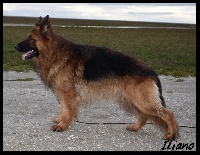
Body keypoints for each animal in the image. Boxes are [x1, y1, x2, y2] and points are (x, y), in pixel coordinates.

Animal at [14, 15, 179, 140]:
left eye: (30, 38)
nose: (15, 46)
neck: (54, 53)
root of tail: (151, 72)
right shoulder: (64, 94)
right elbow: (63, 108)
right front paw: (60, 120)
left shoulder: (69, 94)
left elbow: (67, 110)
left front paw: (62, 125)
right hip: (130, 100)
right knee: (144, 116)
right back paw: (135, 127)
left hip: (141, 101)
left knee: (168, 113)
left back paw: (171, 135)